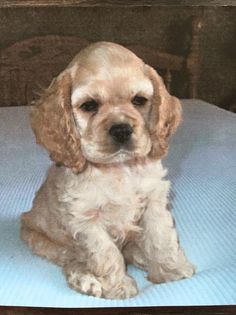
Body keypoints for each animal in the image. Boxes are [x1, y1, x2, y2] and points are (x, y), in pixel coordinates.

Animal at [20, 42, 194, 302]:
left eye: (139, 100)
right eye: (89, 105)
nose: (121, 130)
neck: (118, 168)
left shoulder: (154, 200)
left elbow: (162, 237)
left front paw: (171, 270)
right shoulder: (85, 219)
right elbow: (106, 254)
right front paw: (119, 287)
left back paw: (140, 255)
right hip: (42, 239)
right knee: (72, 260)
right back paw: (86, 279)